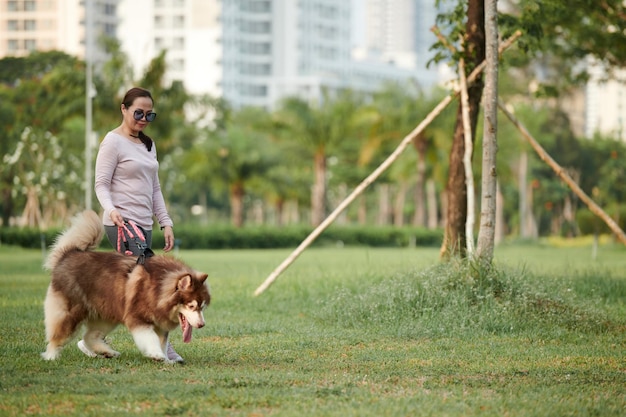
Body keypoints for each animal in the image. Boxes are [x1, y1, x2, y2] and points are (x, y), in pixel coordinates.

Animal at [40, 210, 210, 362]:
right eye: (191, 306)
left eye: (202, 307)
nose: (202, 325)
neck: (158, 288)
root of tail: (68, 254)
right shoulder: (138, 317)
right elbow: (151, 338)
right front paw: (156, 354)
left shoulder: (160, 323)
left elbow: (163, 342)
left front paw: (167, 360)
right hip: (71, 312)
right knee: (58, 335)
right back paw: (51, 356)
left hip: (106, 315)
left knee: (89, 337)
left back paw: (107, 352)